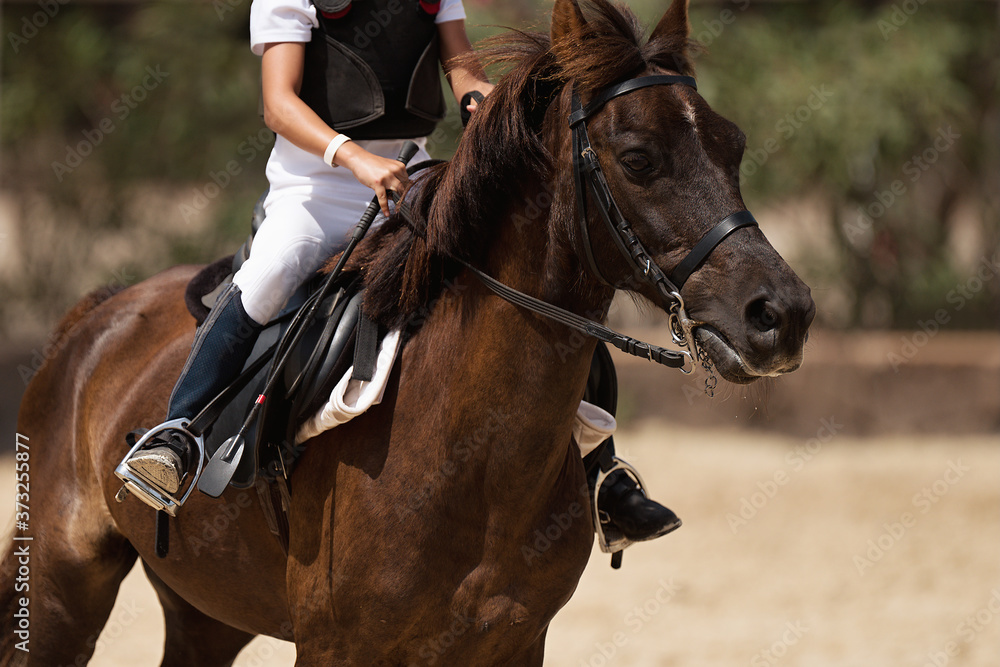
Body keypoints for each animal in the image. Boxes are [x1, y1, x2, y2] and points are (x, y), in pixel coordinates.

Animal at [0, 2, 812, 664]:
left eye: (734, 146)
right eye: (639, 159)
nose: (783, 314)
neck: (472, 447)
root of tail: (96, 315)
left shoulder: (512, 643)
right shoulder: (337, 646)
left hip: (207, 606)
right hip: (63, 588)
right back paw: (166, 453)